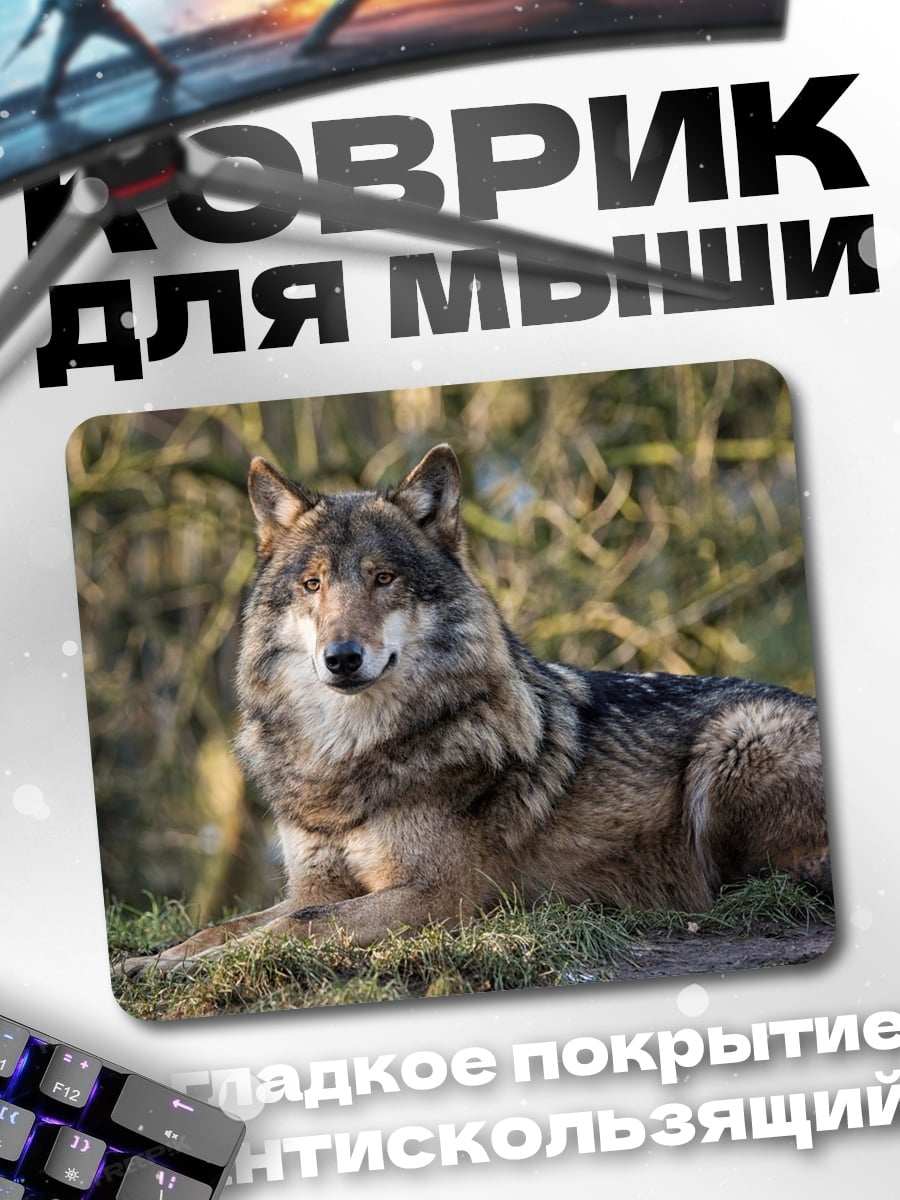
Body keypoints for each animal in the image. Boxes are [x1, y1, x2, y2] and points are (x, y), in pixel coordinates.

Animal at [120, 444, 828, 977]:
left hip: (736, 739)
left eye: (383, 578)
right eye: (312, 584)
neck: (347, 758)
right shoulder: (314, 884)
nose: (341, 658)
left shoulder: (440, 895)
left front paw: (193, 968)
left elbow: (295, 926)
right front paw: (153, 962)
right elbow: (230, 925)